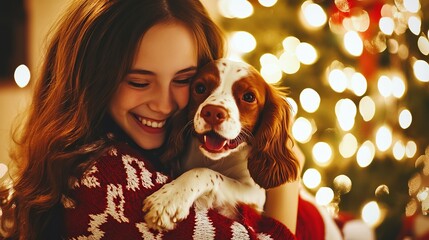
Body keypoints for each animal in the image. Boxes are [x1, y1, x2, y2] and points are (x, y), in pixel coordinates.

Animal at [142, 57, 300, 231]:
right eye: (200, 88)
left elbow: (203, 172)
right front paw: (169, 197)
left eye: (249, 97)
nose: (212, 112)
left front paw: (169, 200)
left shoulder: (254, 197)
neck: (215, 160)